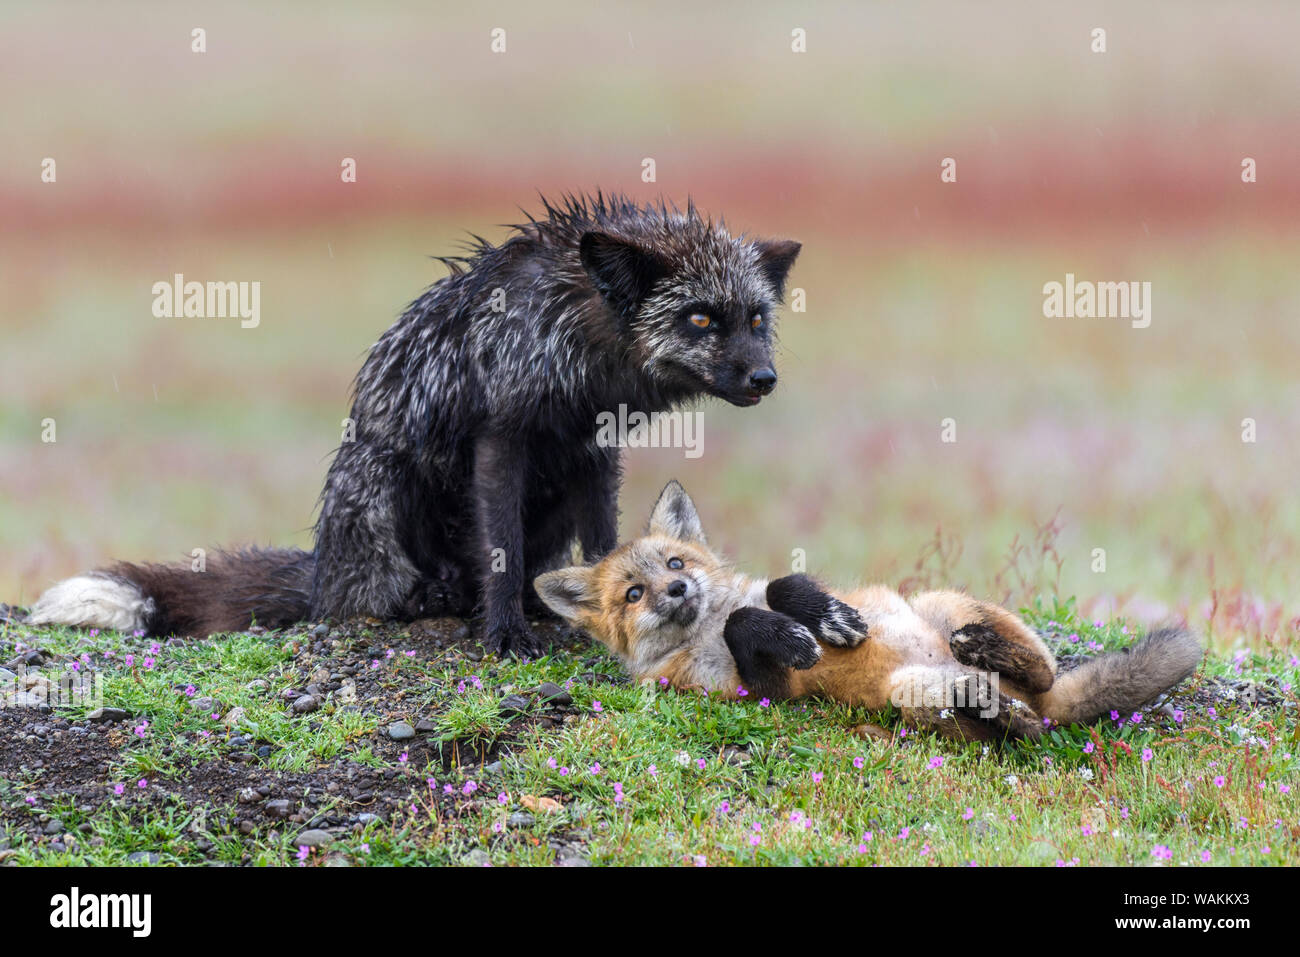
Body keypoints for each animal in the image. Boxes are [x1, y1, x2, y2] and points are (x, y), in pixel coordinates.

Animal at [27, 194, 801, 656]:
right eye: (700, 319)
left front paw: (597, 604)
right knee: (376, 598)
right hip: (380, 482)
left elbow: (605, 540)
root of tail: (324, 574)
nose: (765, 379)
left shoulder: (593, 445)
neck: (578, 335)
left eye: (755, 319)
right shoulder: (501, 435)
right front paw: (505, 635)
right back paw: (426, 600)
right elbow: (501, 548)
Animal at [534, 481, 1205, 743]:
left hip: (939, 604)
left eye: (675, 563)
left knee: (1039, 668)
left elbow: (785, 586)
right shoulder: (759, 690)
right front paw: (794, 636)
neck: (703, 630)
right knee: (1018, 722)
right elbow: (746, 626)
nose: (675, 591)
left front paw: (831, 620)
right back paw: (1000, 708)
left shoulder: (776, 586)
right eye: (632, 594)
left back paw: (988, 653)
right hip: (911, 694)